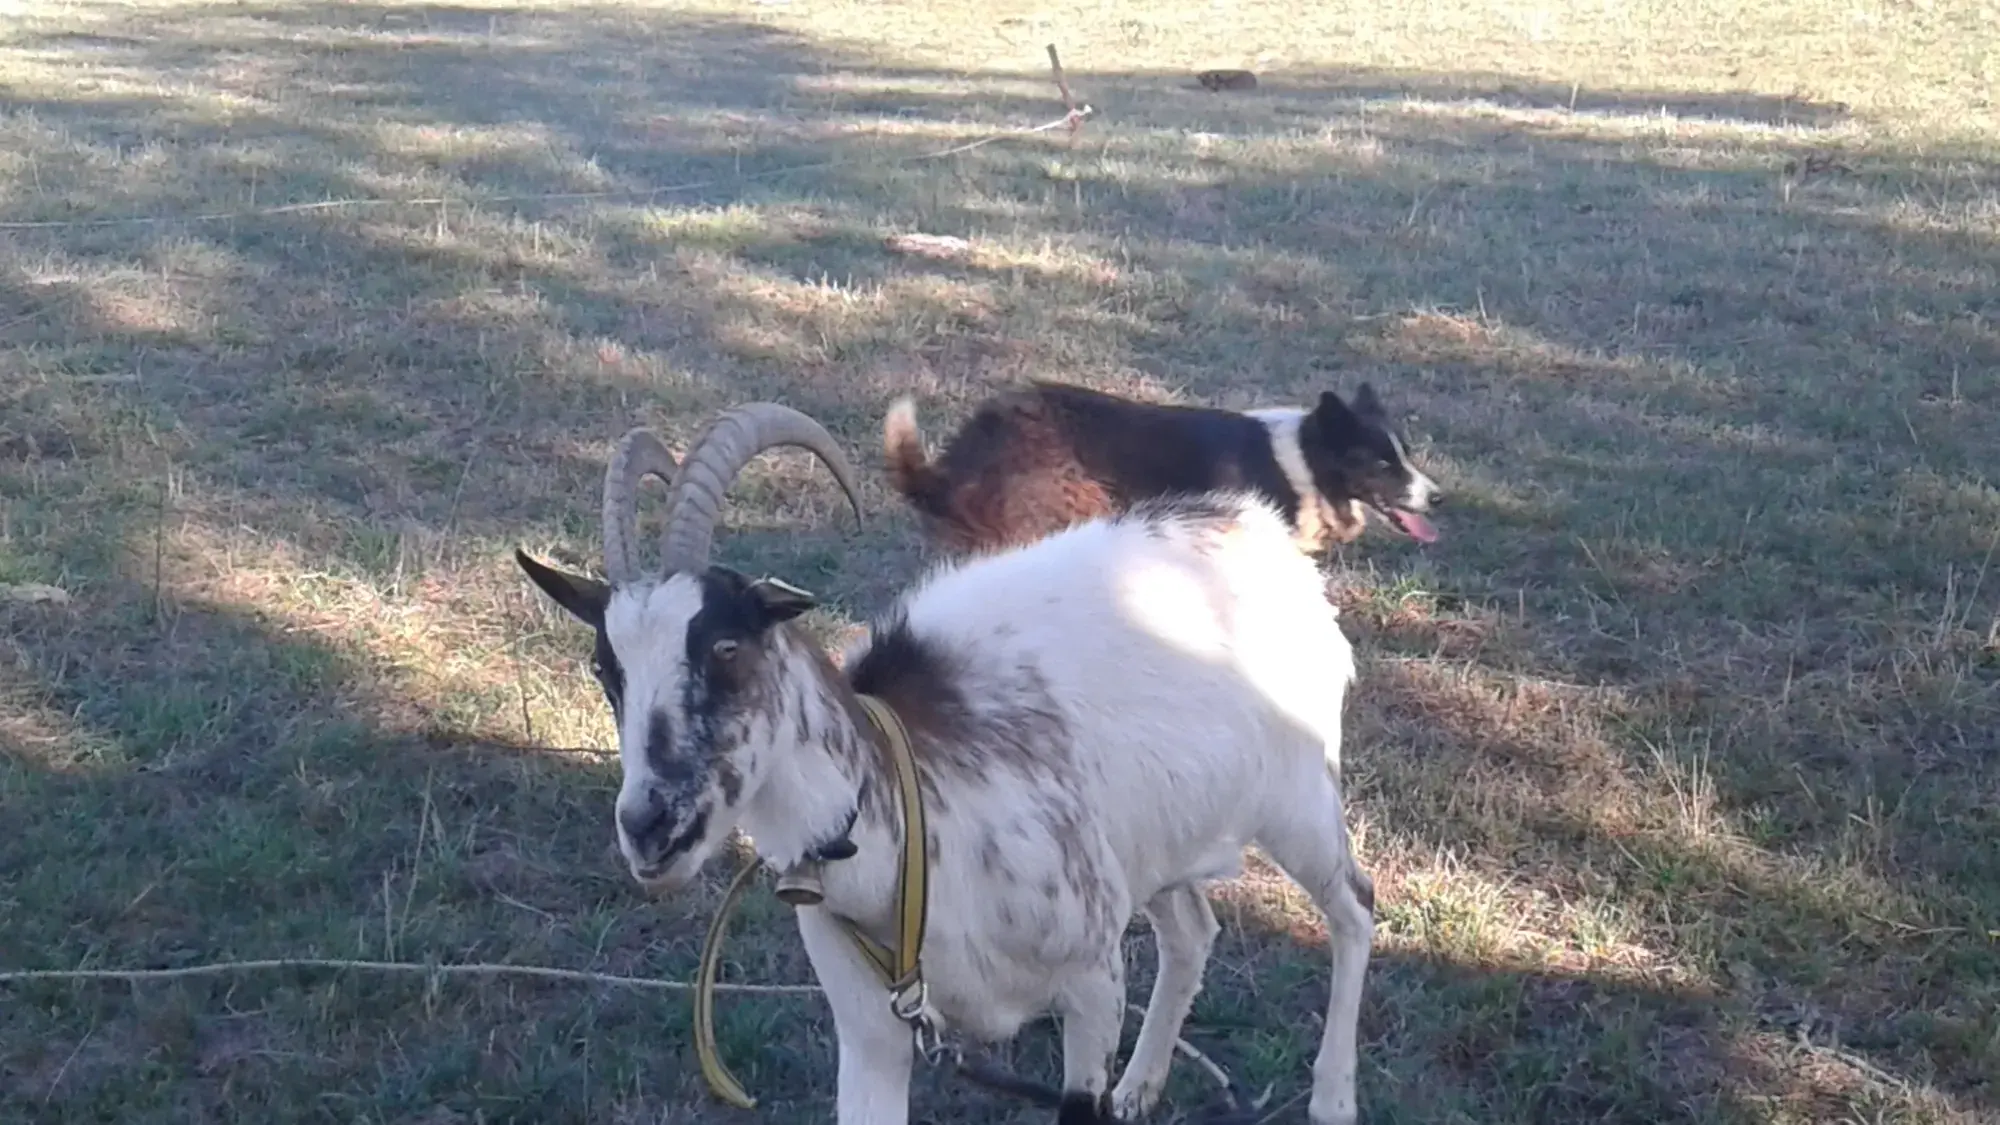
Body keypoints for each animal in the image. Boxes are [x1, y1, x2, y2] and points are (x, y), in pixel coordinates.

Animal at [514, 402, 1375, 1124]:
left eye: (728, 645)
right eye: (606, 667)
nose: (649, 826)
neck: (910, 822)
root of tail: (1259, 531)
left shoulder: (1092, 980)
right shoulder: (871, 1030)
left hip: (1299, 799)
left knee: (1354, 907)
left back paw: (1332, 1098)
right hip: (1158, 837)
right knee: (1194, 928)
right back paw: (1141, 1086)